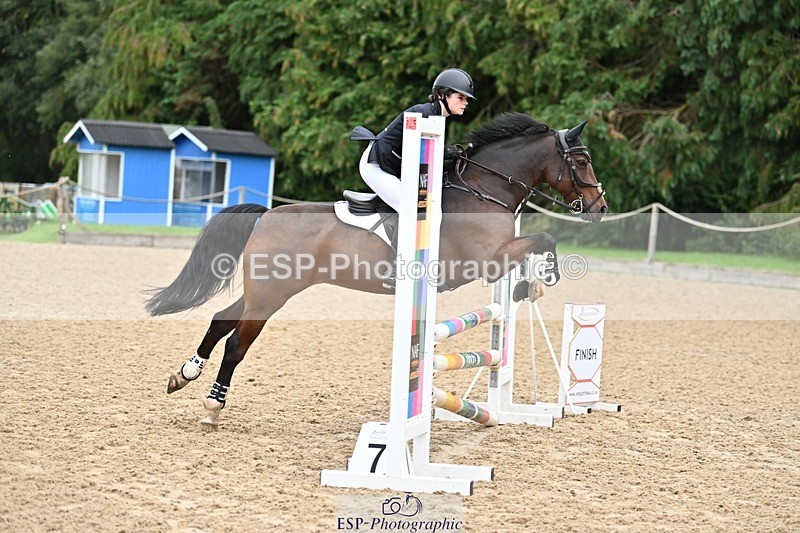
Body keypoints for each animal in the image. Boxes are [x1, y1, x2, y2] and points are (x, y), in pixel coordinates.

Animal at [145, 112, 607, 430]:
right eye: (583, 160)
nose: (600, 208)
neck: (482, 191)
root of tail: (266, 215)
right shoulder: (487, 261)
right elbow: (544, 238)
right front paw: (537, 283)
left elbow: (536, 245)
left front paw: (528, 287)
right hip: (272, 294)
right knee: (237, 344)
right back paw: (213, 406)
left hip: (264, 290)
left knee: (222, 319)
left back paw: (183, 375)